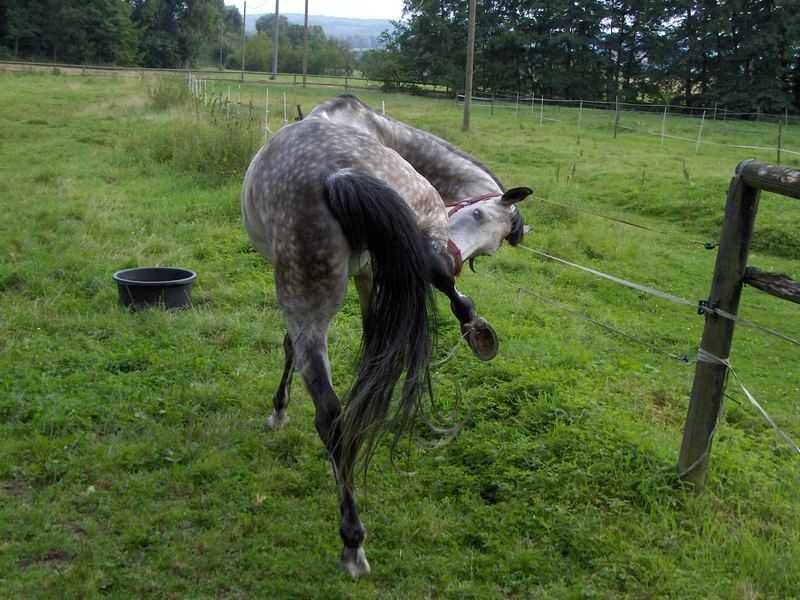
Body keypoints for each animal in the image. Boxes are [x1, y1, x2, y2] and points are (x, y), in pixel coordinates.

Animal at [244, 95, 532, 576]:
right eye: (477, 213)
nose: (459, 256)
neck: (374, 126)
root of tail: (337, 174)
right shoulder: (381, 274)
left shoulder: (363, 279)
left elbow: (288, 346)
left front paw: (279, 411)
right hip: (412, 242)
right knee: (439, 283)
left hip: (311, 298)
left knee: (330, 414)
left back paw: (352, 541)